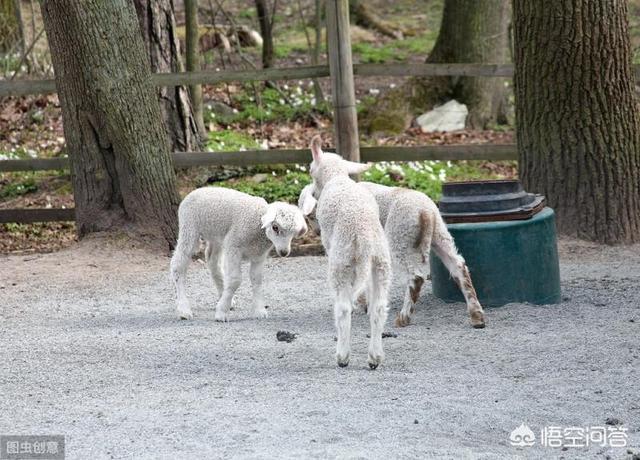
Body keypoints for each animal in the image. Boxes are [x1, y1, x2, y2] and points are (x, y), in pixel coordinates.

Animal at [169, 185, 306, 322]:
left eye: (294, 232)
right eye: (275, 227)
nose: (284, 252)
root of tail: (197, 190)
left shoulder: (259, 255)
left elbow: (257, 279)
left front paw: (259, 310)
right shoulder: (234, 246)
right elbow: (235, 280)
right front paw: (221, 313)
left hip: (217, 236)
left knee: (212, 261)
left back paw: (224, 296)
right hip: (189, 228)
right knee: (178, 265)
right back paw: (184, 309)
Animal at [304, 135, 392, 368]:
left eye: (310, 170)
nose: (314, 193)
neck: (337, 177)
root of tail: (364, 238)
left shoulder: (329, 243)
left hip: (341, 260)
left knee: (343, 308)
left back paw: (343, 356)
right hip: (381, 263)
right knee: (379, 308)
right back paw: (375, 357)